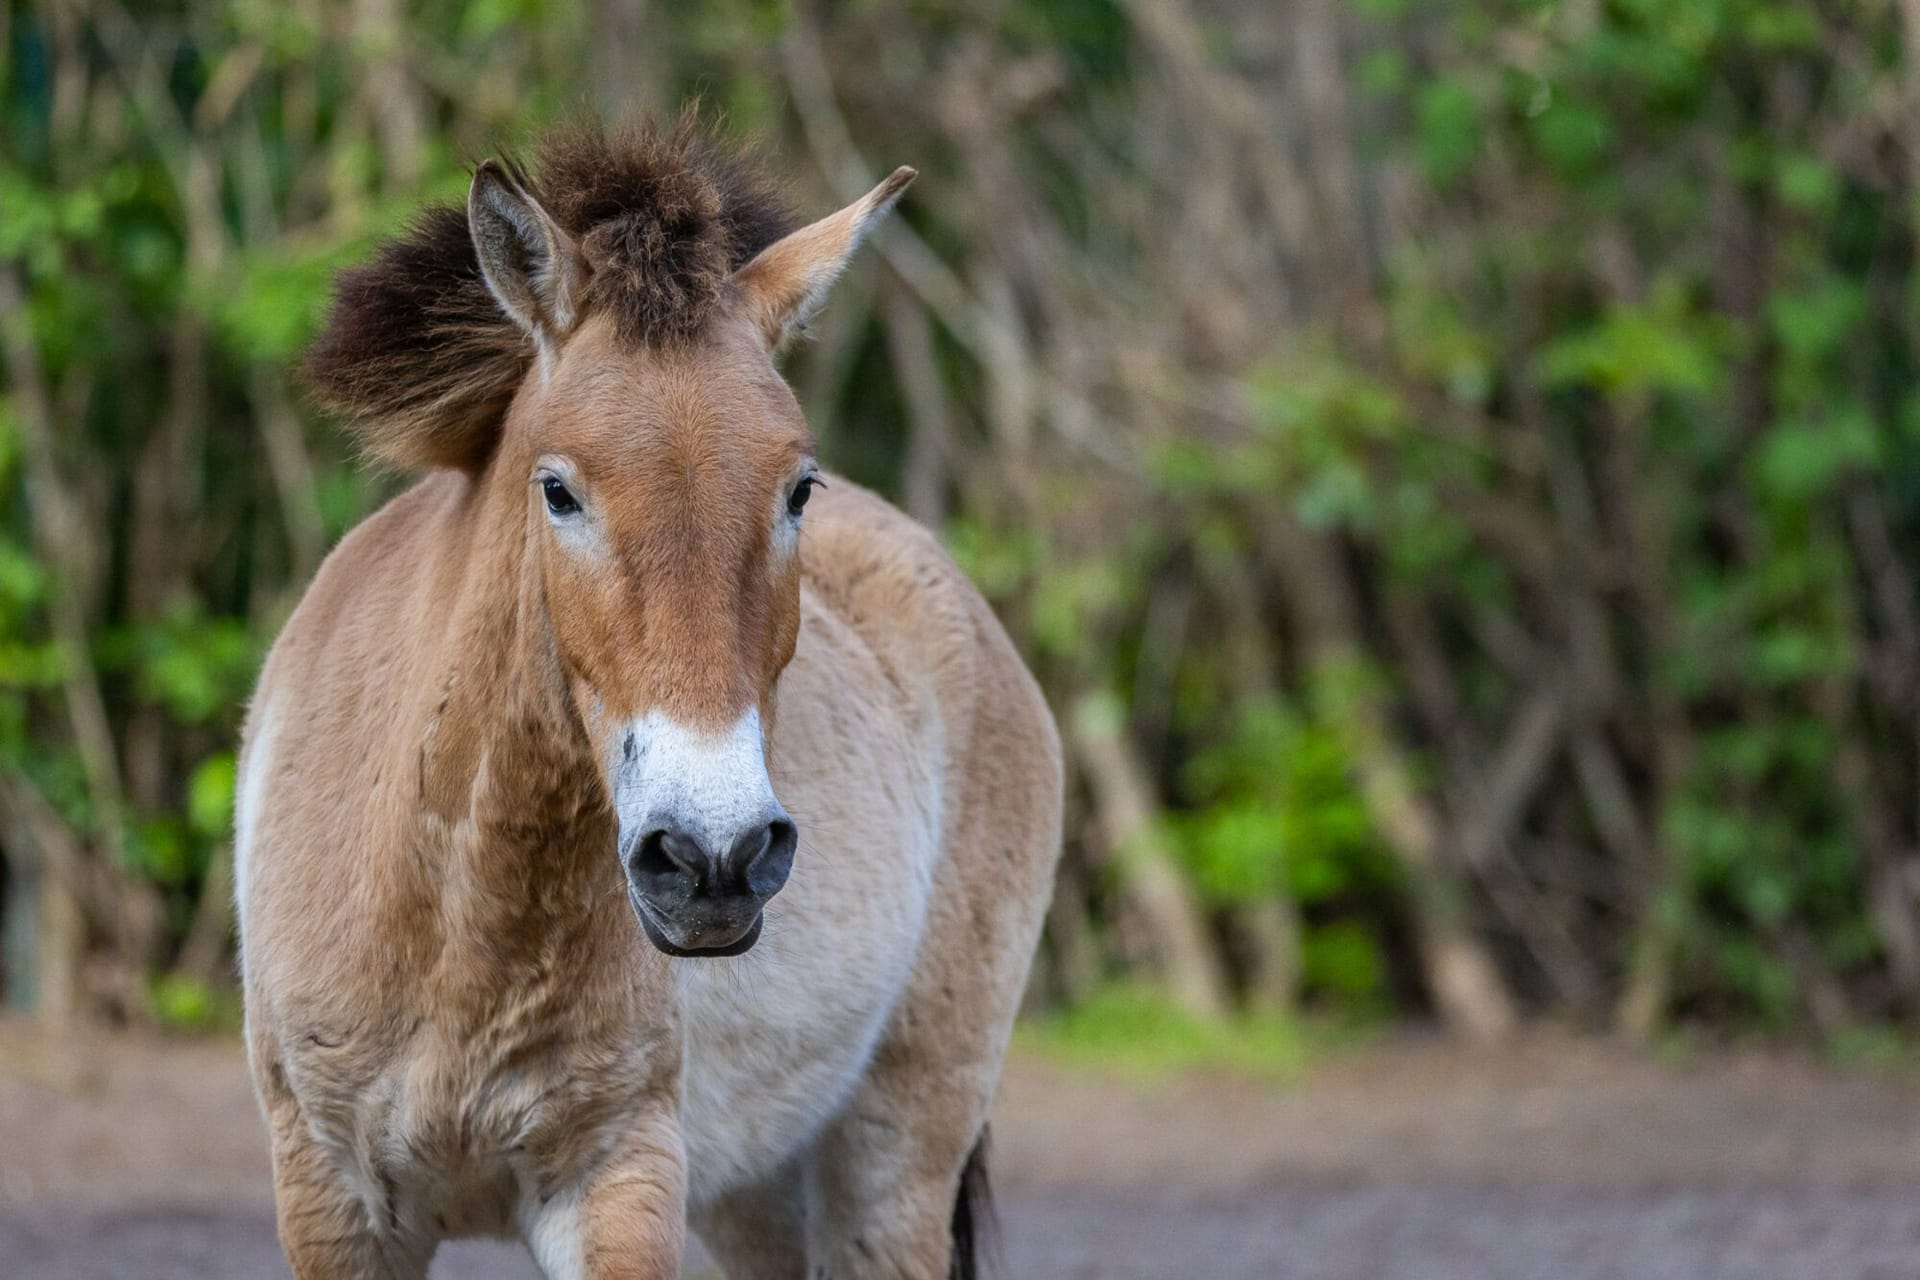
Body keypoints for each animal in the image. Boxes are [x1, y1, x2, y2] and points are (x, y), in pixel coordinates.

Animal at [236, 115, 1067, 1274]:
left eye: (798, 487)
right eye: (558, 491)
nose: (715, 857)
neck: (455, 922)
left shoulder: (616, 1179)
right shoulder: (331, 1199)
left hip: (894, 1163)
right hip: (756, 1195)